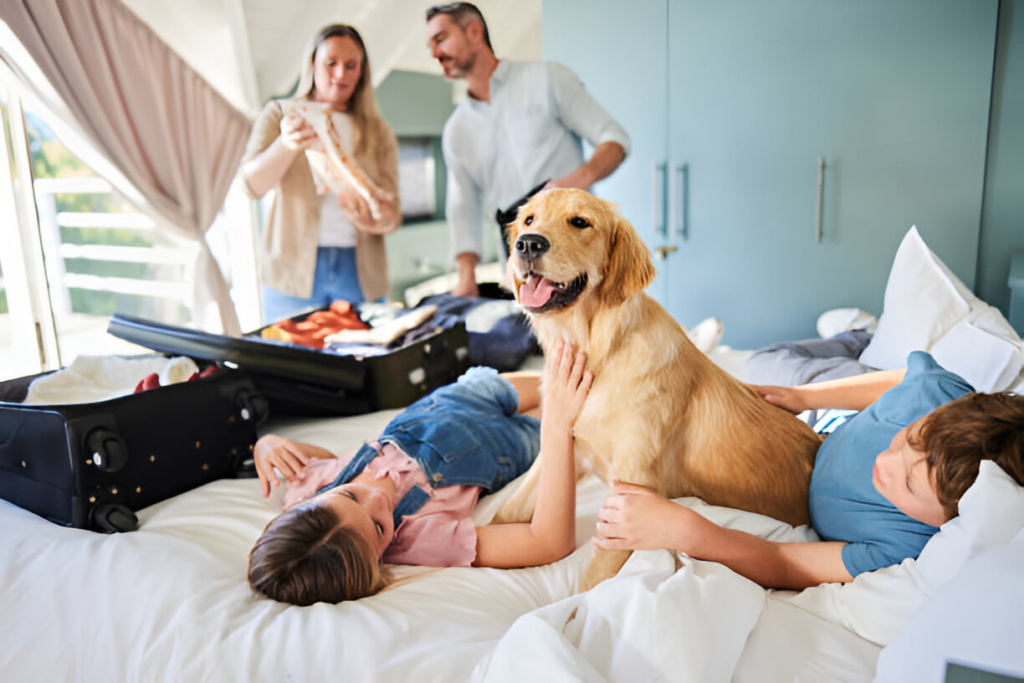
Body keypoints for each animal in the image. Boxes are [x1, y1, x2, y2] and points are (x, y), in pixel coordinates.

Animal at [491, 188, 819, 593]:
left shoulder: (632, 491)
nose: (528, 244)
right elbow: (504, 514)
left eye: (580, 222)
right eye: (529, 220)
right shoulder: (567, 451)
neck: (600, 351)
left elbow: (593, 581)